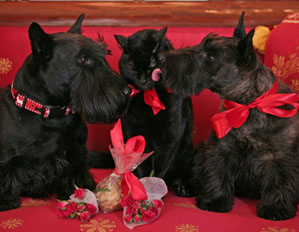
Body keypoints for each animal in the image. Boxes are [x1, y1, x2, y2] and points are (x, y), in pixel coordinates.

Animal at [0, 13, 131, 211]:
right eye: (83, 59)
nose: (128, 91)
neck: (50, 115)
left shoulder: (77, 153)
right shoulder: (8, 158)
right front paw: (6, 198)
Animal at [113, 27, 196, 195]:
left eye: (152, 64)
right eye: (132, 67)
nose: (143, 79)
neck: (149, 98)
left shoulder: (171, 135)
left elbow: (161, 165)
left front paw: (154, 188)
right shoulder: (134, 131)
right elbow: (140, 163)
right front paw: (141, 186)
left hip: (187, 151)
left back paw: (183, 188)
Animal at [159, 13, 299, 221]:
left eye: (211, 56)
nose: (160, 58)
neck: (247, 105)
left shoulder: (280, 158)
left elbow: (279, 183)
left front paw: (275, 209)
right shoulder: (221, 149)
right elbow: (217, 174)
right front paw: (215, 201)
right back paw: (186, 187)